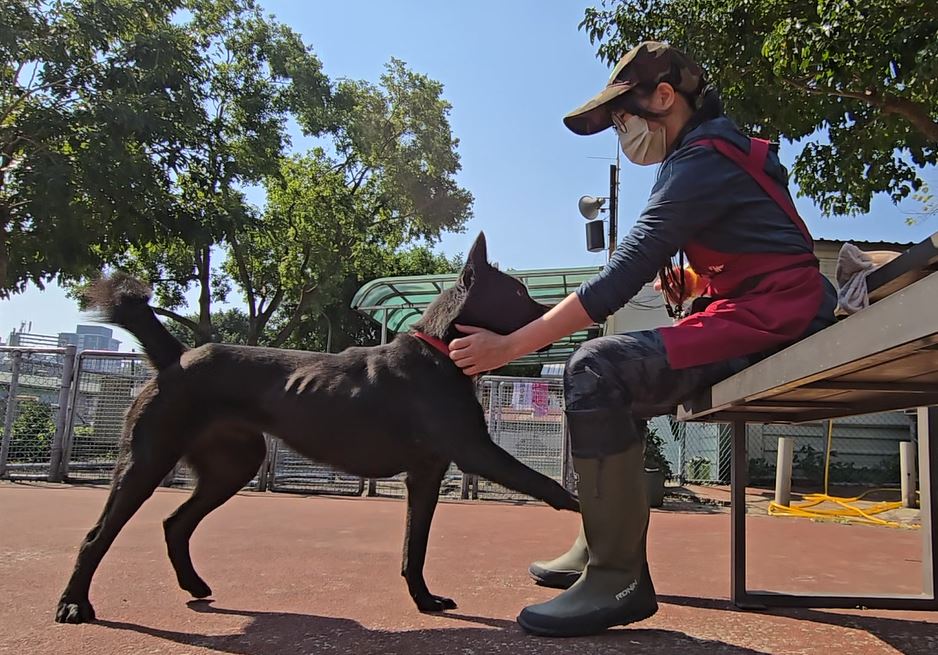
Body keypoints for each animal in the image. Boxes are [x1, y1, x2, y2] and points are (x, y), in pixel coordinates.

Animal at [56, 233, 576, 624]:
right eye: (517, 293)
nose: (562, 321)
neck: (439, 351)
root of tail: (176, 357)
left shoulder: (426, 475)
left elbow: (416, 546)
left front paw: (424, 601)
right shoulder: (475, 450)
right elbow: (546, 483)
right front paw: (578, 509)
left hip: (233, 465)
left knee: (176, 523)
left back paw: (193, 584)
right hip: (146, 461)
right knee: (97, 535)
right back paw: (74, 604)